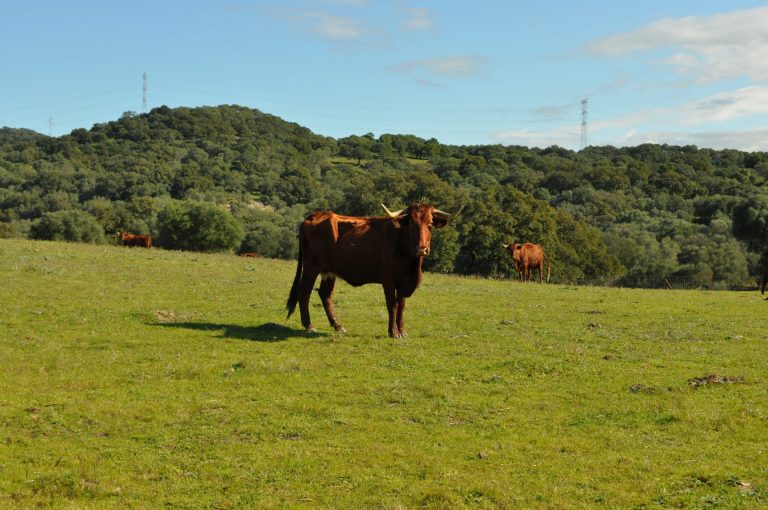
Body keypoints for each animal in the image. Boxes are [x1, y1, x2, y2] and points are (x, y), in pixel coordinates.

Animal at [286, 202, 456, 338]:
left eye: (430, 225)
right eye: (411, 224)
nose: (422, 248)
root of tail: (315, 215)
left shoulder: (403, 282)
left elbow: (401, 306)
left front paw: (402, 331)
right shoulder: (388, 279)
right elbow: (392, 305)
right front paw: (393, 332)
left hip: (329, 271)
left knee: (325, 294)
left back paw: (338, 326)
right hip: (311, 267)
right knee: (304, 292)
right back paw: (309, 326)